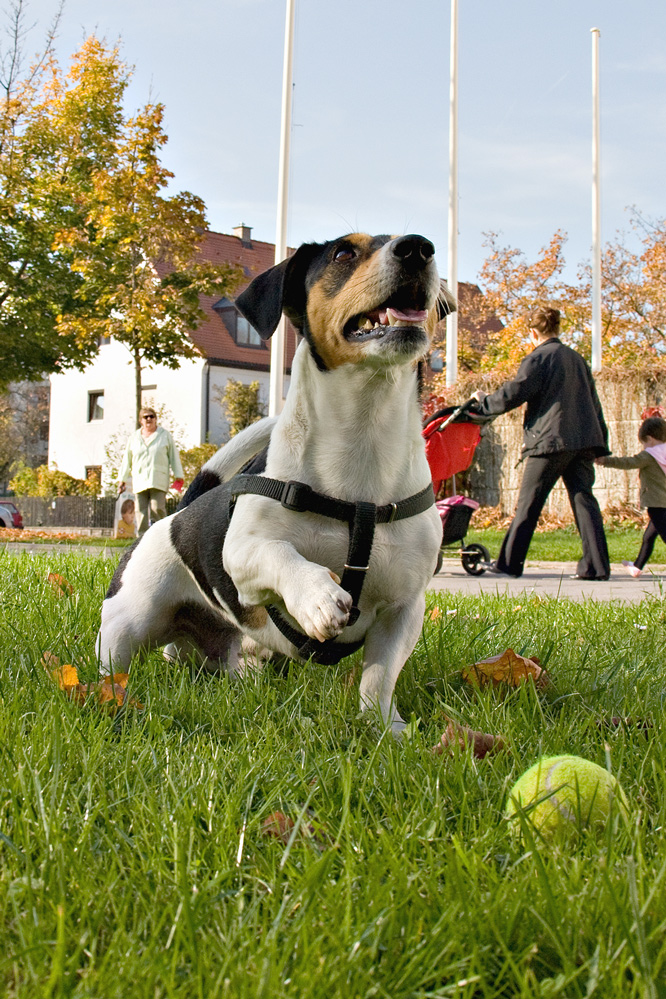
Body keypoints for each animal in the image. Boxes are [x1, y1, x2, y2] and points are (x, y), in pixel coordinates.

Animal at [96, 232, 454, 736]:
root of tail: (174, 516)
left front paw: (385, 730)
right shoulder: (242, 554)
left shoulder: (404, 609)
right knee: (115, 666)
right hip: (126, 622)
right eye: (344, 253)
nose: (419, 247)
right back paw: (109, 699)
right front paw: (316, 596)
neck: (362, 445)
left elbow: (379, 679)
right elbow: (281, 553)